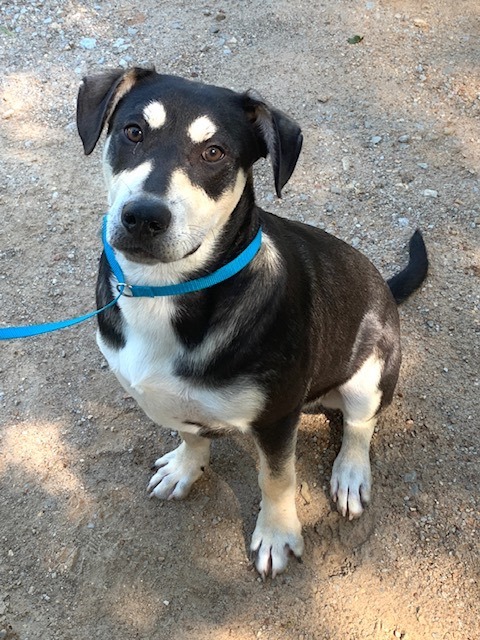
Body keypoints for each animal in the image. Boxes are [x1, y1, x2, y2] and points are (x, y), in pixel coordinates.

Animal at [77, 66, 430, 580]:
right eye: (133, 131)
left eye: (215, 152)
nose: (143, 216)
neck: (163, 292)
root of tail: (384, 286)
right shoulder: (170, 399)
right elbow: (189, 432)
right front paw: (187, 467)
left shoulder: (277, 416)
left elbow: (276, 479)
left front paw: (278, 535)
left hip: (371, 370)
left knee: (360, 425)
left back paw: (349, 474)